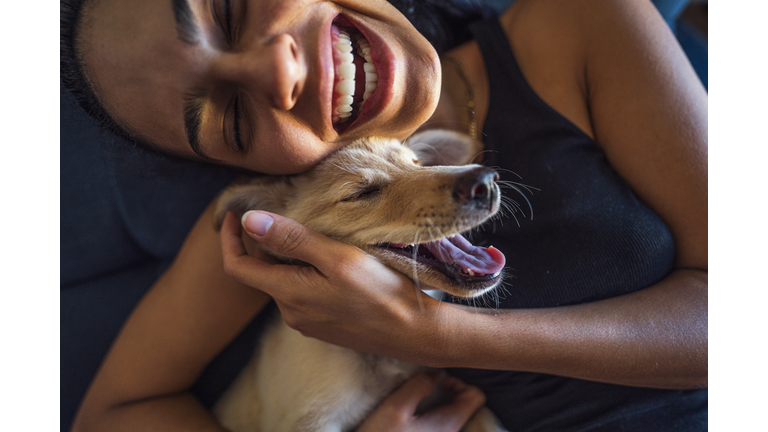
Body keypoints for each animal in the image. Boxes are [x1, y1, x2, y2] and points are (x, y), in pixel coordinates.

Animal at [213, 130, 510, 430]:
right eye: (361, 193)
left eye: (417, 164)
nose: (485, 181)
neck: (381, 357)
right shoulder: (309, 420)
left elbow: (487, 419)